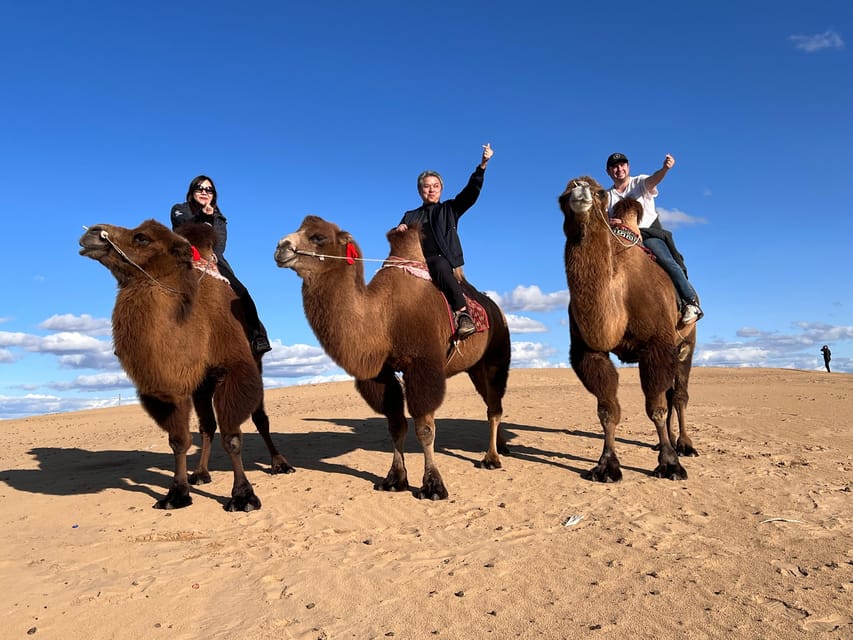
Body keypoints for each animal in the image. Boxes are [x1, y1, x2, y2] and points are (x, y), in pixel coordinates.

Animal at [79, 219, 293, 511]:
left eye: (141, 237)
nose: (91, 233)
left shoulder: (234, 371)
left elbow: (232, 436)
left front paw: (243, 496)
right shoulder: (174, 383)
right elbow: (179, 440)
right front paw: (177, 493)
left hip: (255, 363)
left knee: (259, 417)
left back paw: (280, 464)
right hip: (203, 385)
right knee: (207, 426)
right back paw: (200, 473)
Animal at [274, 215, 511, 500]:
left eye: (318, 237)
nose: (281, 247)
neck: (385, 316)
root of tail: (495, 308)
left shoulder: (421, 366)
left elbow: (425, 428)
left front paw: (433, 484)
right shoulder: (381, 373)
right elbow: (396, 425)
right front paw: (394, 479)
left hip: (496, 356)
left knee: (494, 404)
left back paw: (491, 459)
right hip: (474, 366)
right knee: (490, 401)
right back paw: (501, 446)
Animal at [558, 177, 698, 482]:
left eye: (600, 193)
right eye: (562, 195)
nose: (579, 190)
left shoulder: (657, 346)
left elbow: (656, 408)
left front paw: (670, 463)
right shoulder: (589, 352)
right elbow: (608, 409)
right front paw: (607, 466)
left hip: (687, 343)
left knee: (679, 396)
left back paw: (684, 445)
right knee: (671, 394)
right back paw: (668, 441)